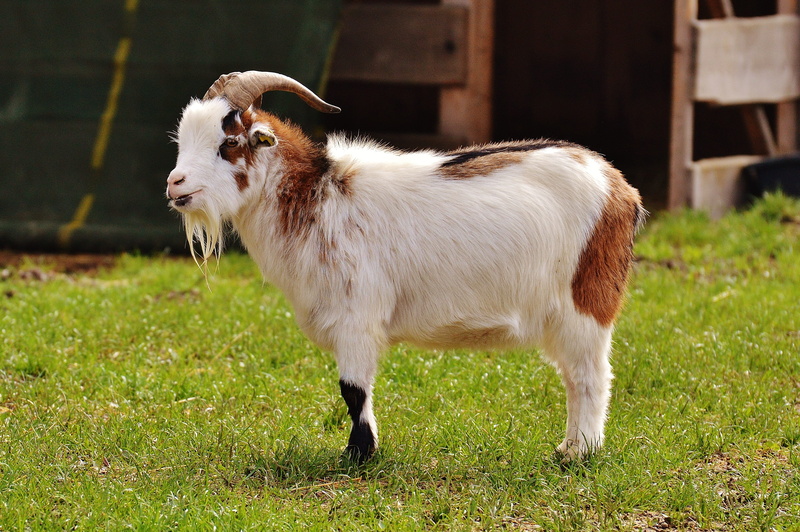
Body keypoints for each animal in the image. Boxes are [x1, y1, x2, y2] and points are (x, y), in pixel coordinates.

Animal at [166, 71, 645, 461]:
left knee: (591, 375)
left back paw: (580, 453)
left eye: (228, 143)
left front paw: (358, 456)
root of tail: (619, 187)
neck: (320, 195)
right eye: (183, 141)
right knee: (574, 376)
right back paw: (568, 446)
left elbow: (353, 390)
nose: (175, 184)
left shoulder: (356, 318)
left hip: (586, 301)